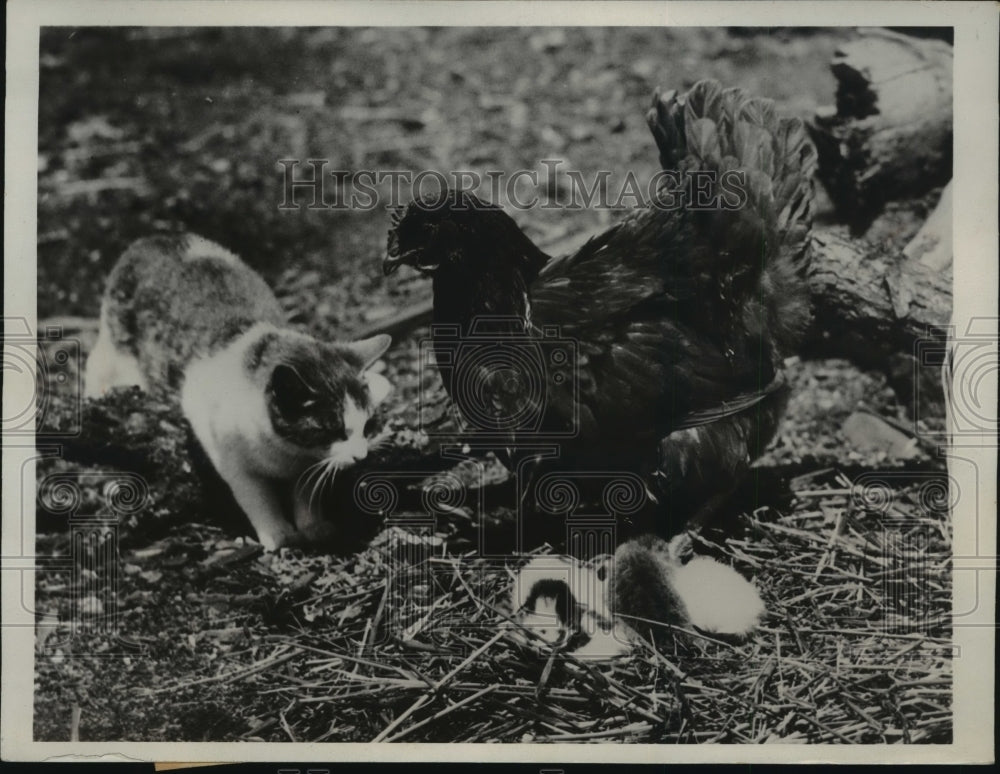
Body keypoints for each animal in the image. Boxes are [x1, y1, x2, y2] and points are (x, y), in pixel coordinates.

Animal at [84, 235, 392, 552]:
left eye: (367, 425)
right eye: (333, 430)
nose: (360, 455)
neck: (285, 455)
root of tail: (154, 238)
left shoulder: (307, 466)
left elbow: (306, 493)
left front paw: (313, 526)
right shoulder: (229, 457)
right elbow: (257, 498)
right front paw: (278, 533)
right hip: (117, 352)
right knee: (95, 366)